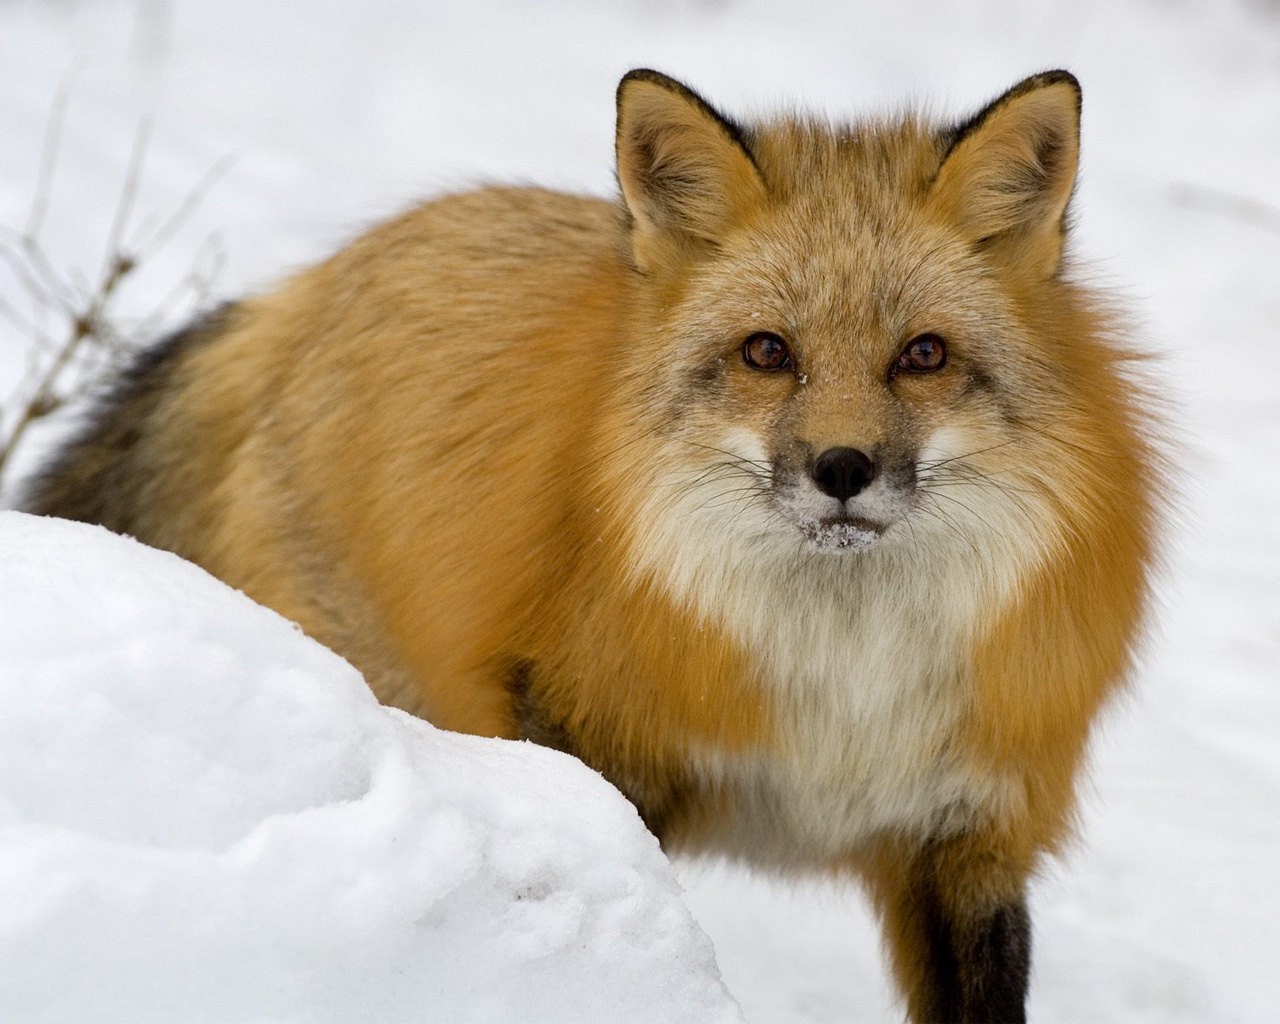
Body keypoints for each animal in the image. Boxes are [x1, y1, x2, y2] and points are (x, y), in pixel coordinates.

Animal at [22, 69, 1160, 1022]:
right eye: (767, 353)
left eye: (922, 355)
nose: (842, 467)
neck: (842, 684)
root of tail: (311, 283)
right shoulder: (592, 741)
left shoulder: (966, 833)